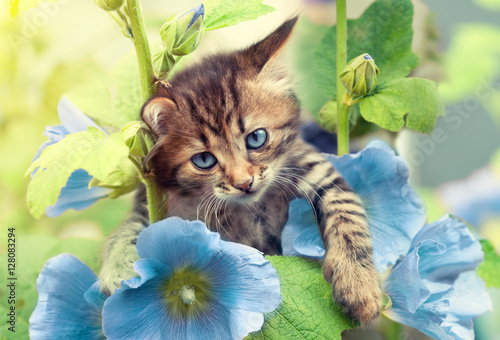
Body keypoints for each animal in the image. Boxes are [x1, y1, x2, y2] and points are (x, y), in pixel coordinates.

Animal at [99, 16, 380, 324]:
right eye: (204, 160)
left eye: (256, 138)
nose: (244, 183)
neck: (247, 209)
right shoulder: (155, 201)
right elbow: (129, 228)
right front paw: (121, 268)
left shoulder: (316, 170)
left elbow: (348, 213)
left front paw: (359, 285)